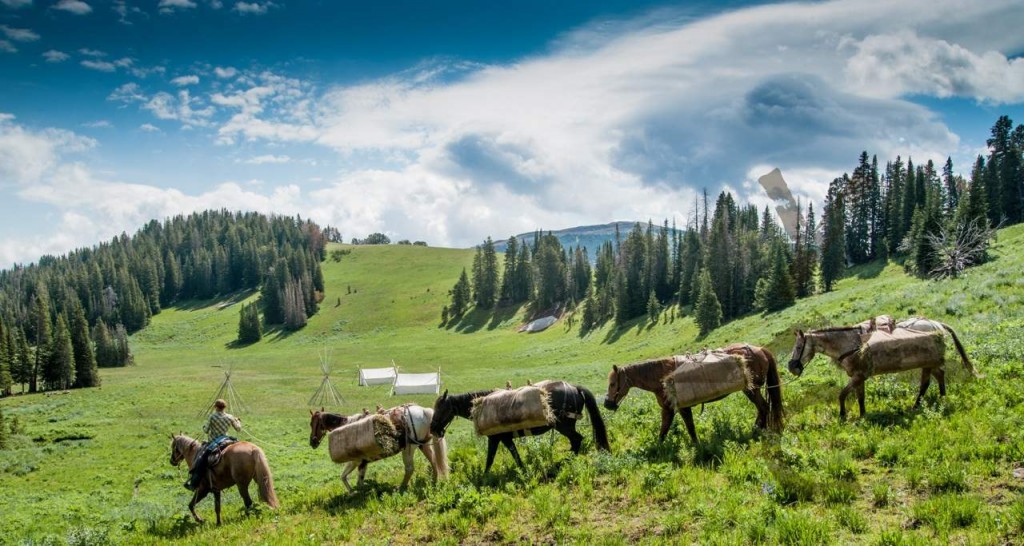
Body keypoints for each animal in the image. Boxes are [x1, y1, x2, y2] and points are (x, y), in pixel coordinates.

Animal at [305, 401, 446, 491]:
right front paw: (358, 491)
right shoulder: (363, 462)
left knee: (410, 469)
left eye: (312, 424)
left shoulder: (356, 461)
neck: (346, 424)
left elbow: (345, 477)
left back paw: (401, 488)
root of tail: (423, 411)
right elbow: (356, 479)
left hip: (409, 449)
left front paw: (353, 492)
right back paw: (434, 481)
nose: (312, 442)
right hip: (423, 444)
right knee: (433, 461)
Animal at [430, 379, 610, 473]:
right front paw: (523, 469)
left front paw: (485, 476)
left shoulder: (496, 439)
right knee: (575, 441)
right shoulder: (504, 439)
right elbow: (513, 454)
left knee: (577, 440)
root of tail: (574, 388)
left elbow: (491, 458)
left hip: (563, 426)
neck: (479, 406)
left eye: (441, 408)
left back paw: (564, 462)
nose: (432, 428)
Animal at [602, 344, 786, 442]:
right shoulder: (668, 409)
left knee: (763, 407)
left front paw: (697, 445)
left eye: (612, 383)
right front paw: (658, 448)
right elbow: (664, 430)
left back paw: (758, 430)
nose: (607, 404)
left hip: (751, 389)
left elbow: (689, 427)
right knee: (763, 408)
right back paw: (757, 429)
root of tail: (760, 349)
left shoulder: (682, 408)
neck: (661, 377)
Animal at [786, 321, 978, 420]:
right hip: (928, 363)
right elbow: (860, 397)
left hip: (929, 362)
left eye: (798, 347)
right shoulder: (859, 377)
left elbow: (842, 395)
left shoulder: (858, 376)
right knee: (935, 378)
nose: (791, 367)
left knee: (929, 381)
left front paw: (842, 416)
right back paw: (935, 400)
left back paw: (925, 403)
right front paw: (863, 415)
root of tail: (937, 325)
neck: (850, 344)